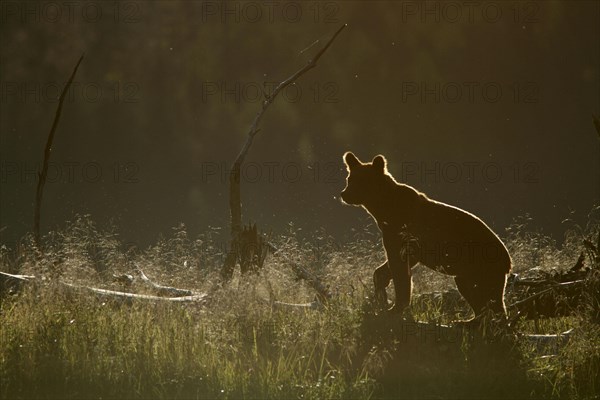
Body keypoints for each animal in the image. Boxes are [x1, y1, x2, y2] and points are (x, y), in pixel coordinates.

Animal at [342, 152, 510, 318]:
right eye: (349, 179)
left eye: (361, 180)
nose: (344, 194)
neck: (381, 208)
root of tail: (508, 262)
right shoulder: (398, 239)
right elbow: (387, 268)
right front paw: (382, 294)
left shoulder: (404, 236)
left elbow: (400, 271)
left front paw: (395, 307)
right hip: (467, 274)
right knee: (482, 300)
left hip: (480, 267)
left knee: (487, 300)